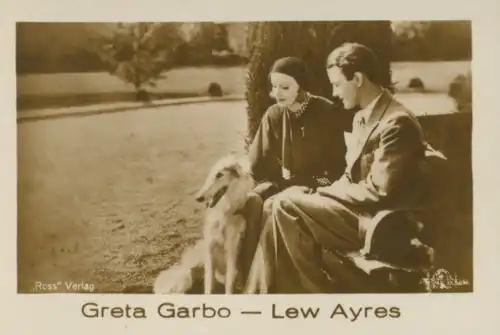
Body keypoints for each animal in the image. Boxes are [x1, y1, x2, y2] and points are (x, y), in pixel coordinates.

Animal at [152, 155, 254, 294]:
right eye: (212, 175)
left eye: (220, 175)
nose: (198, 198)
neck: (223, 213)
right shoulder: (210, 249)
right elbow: (208, 284)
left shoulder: (231, 252)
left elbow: (229, 284)